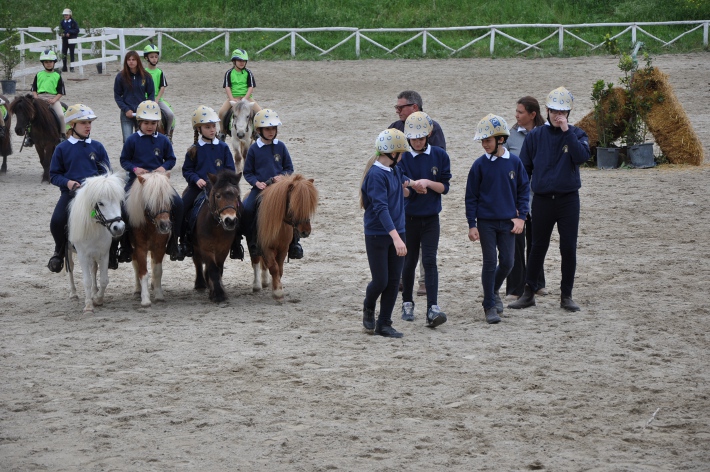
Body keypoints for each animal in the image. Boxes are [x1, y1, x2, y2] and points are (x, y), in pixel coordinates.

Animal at [67, 171, 126, 314]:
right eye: (100, 203)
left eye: (119, 201)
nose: (119, 227)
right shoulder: (83, 255)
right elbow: (86, 280)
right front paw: (88, 306)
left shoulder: (104, 254)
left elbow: (104, 279)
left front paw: (98, 299)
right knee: (70, 267)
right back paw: (73, 293)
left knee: (93, 269)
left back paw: (94, 292)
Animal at [127, 171, 179, 308]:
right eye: (150, 202)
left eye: (169, 200)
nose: (165, 225)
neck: (150, 226)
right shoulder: (140, 248)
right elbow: (143, 272)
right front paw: (145, 299)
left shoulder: (159, 247)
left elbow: (157, 270)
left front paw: (159, 295)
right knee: (136, 267)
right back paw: (137, 290)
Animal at [191, 170, 243, 302]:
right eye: (218, 196)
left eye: (237, 196)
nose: (230, 221)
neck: (216, 226)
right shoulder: (206, 248)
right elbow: (213, 269)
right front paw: (218, 294)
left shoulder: (223, 249)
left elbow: (218, 269)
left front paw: (216, 290)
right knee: (197, 261)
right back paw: (200, 283)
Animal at [250, 173, 318, 302]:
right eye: (293, 205)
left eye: (309, 205)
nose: (305, 232)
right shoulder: (266, 247)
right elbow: (274, 268)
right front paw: (278, 292)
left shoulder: (283, 248)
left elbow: (279, 269)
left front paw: (276, 286)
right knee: (256, 260)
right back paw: (257, 285)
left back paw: (266, 281)